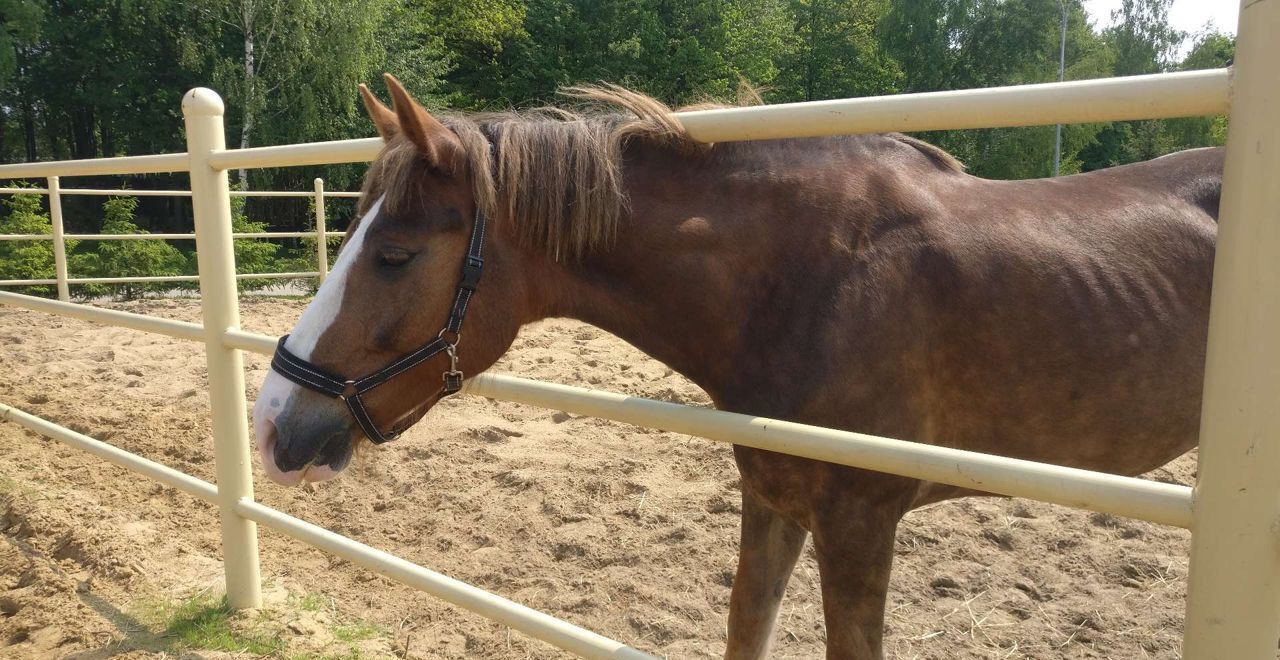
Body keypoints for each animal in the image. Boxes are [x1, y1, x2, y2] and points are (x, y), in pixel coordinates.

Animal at [249, 74, 1218, 654]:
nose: (271, 426)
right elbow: (745, 626)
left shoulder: (861, 523)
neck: (813, 279)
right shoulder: (775, 498)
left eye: (395, 256)